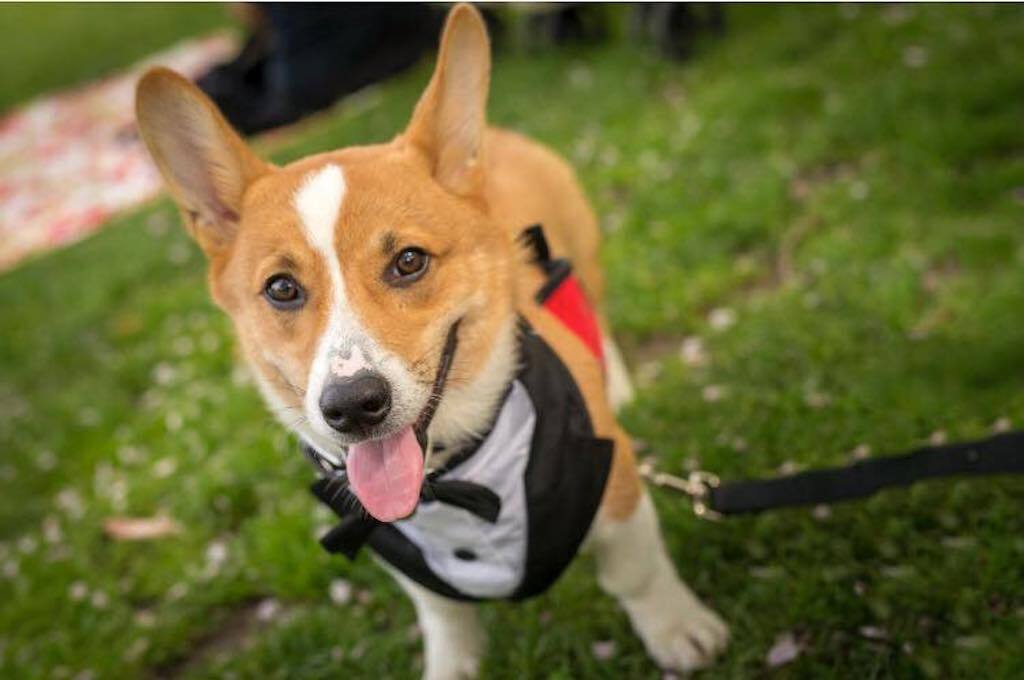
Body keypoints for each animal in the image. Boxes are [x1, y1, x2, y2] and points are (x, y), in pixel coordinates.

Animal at [136, 3, 729, 675]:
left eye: (409, 261)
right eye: (282, 288)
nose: (351, 407)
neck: (453, 478)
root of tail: (491, 138)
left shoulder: (616, 485)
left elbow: (636, 570)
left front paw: (679, 629)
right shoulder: (405, 556)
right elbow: (444, 616)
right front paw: (451, 664)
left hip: (582, 253)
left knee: (593, 310)